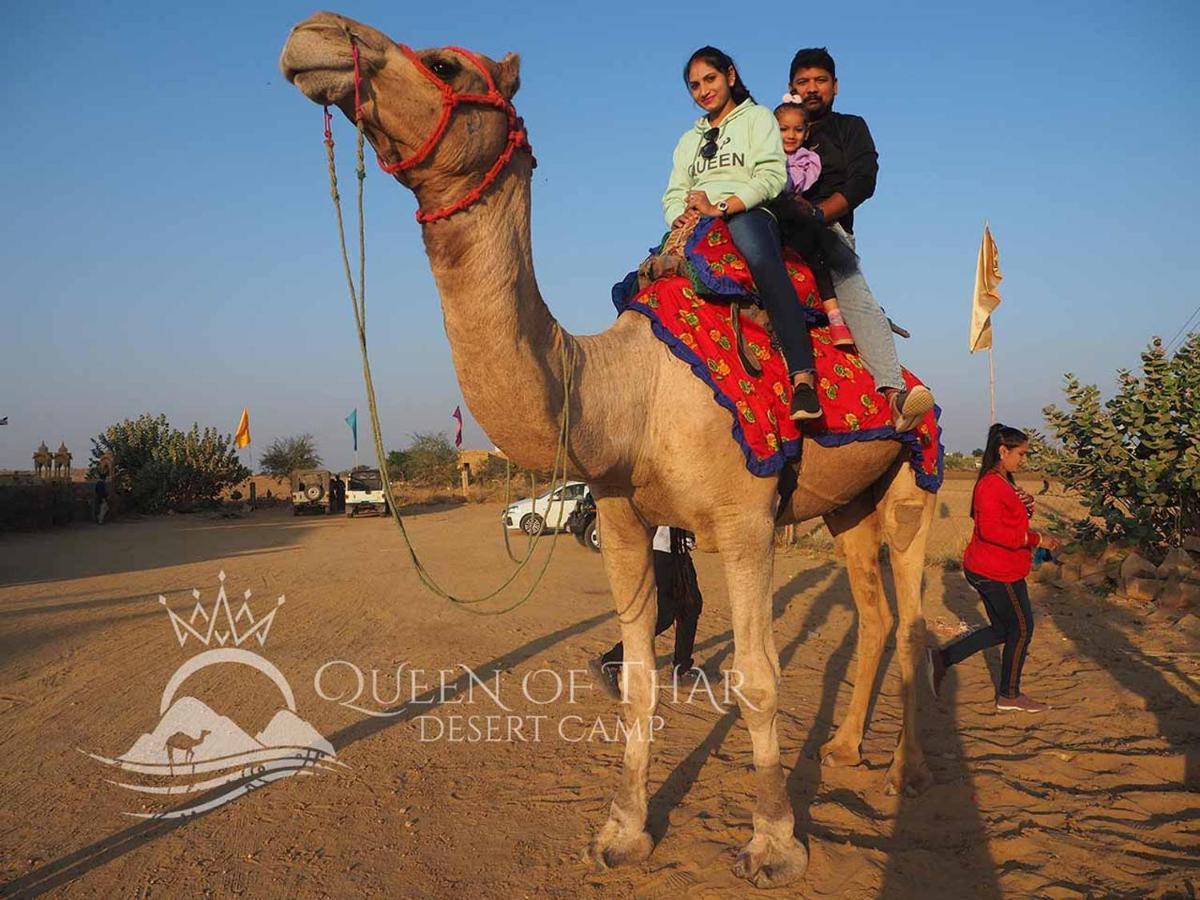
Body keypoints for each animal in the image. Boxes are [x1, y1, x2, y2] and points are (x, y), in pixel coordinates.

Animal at [278, 14, 936, 888]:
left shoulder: (747, 520)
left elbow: (757, 680)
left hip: (914, 477)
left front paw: (773, 845)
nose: (312, 34)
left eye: (446, 64)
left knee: (913, 615)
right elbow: (637, 682)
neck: (631, 395)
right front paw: (623, 831)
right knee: (871, 608)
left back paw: (906, 772)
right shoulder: (624, 523)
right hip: (847, 503)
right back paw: (845, 747)